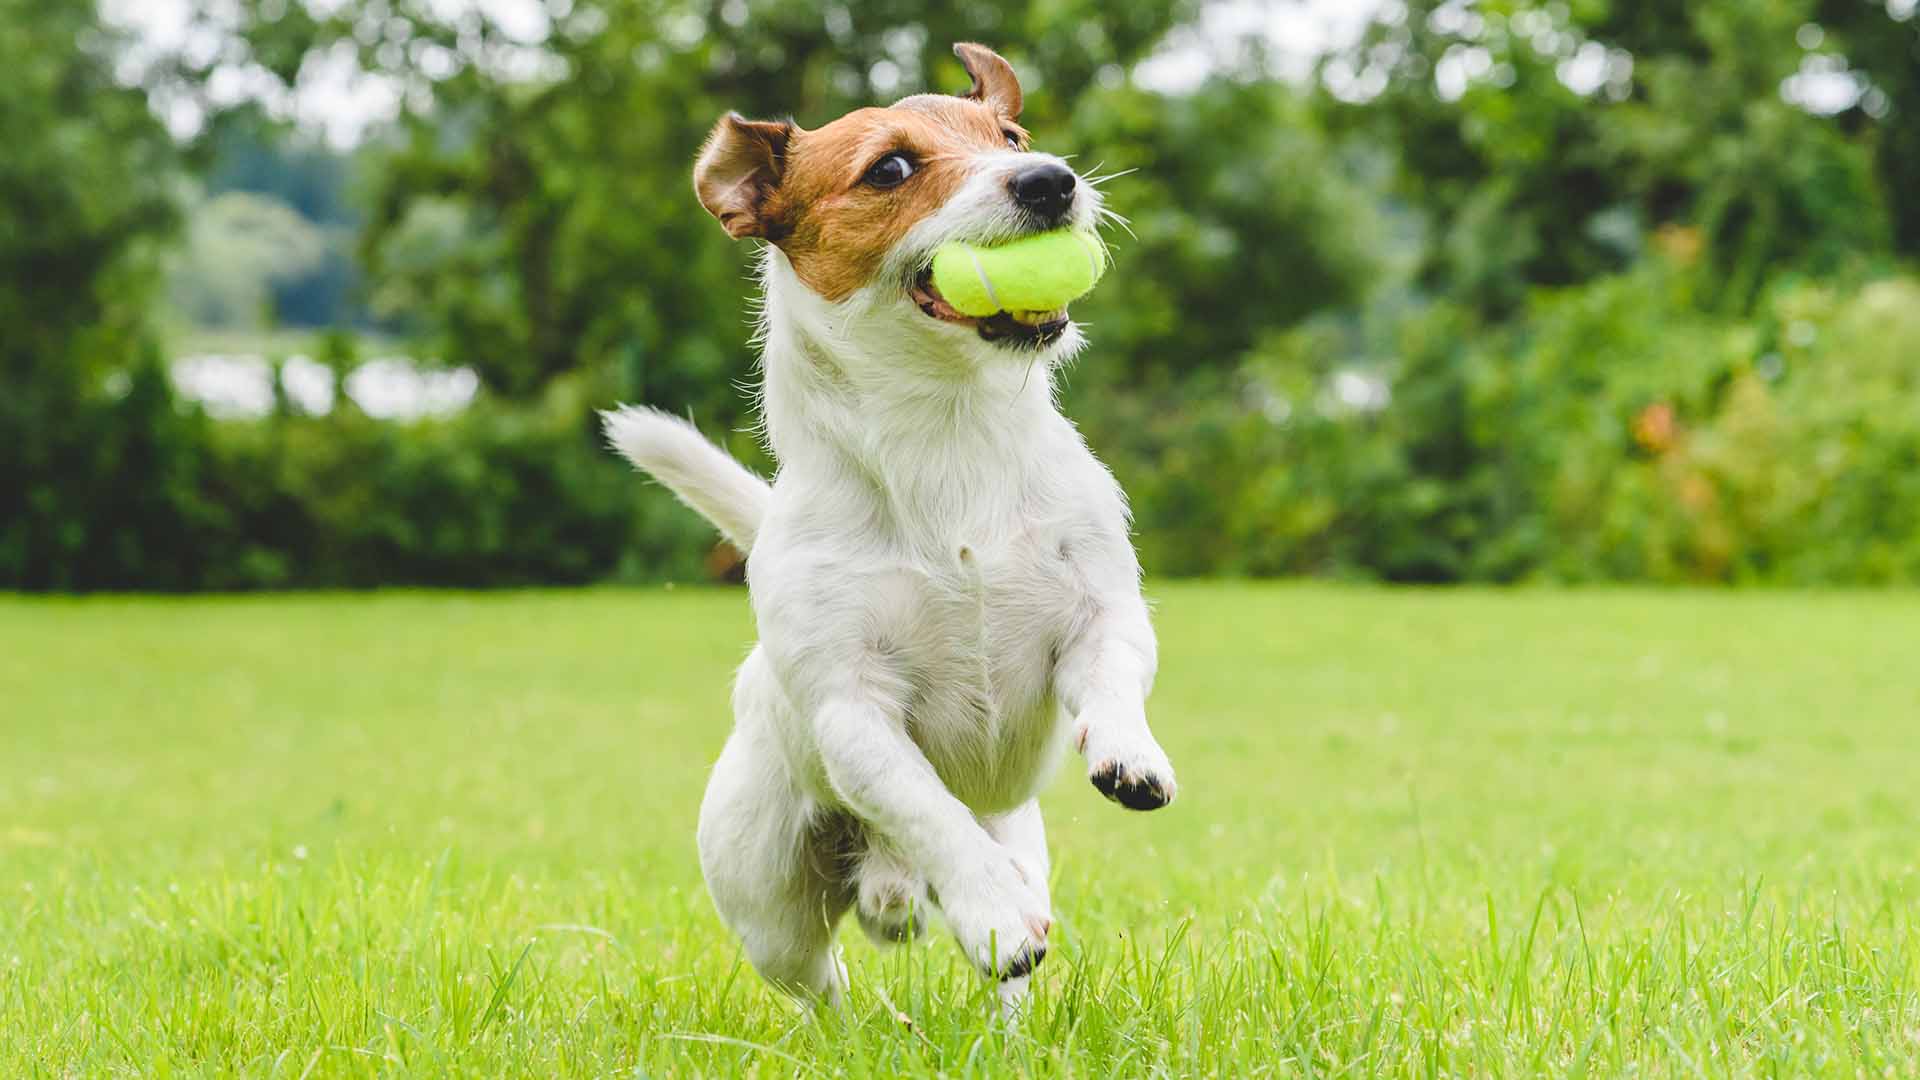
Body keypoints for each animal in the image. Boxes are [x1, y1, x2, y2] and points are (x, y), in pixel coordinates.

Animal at [602, 42, 1167, 1006]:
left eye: (1012, 138)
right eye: (891, 169)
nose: (1051, 181)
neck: (949, 435)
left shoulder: (1102, 612)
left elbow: (1114, 676)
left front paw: (1129, 752)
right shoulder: (852, 712)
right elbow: (924, 805)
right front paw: (991, 910)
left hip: (1017, 834)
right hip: (769, 903)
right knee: (823, 983)